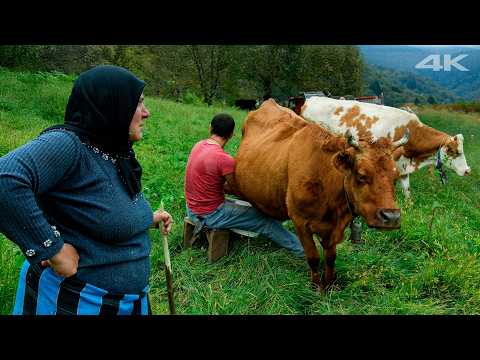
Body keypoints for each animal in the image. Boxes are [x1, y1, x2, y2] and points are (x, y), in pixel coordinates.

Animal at [234, 99, 406, 290]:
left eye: (396, 178)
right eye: (361, 175)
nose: (391, 217)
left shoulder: (337, 226)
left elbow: (330, 257)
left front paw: (330, 284)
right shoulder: (300, 221)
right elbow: (313, 257)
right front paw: (316, 287)